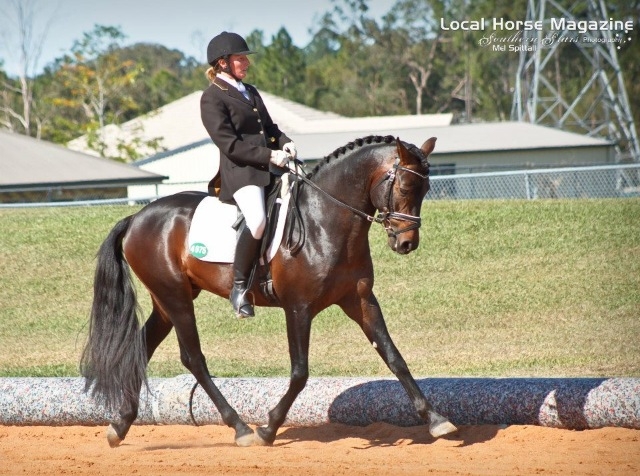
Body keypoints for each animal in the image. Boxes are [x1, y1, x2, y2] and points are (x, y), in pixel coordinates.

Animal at [81, 133, 460, 446]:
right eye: (405, 188)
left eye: (426, 190)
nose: (407, 243)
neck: (326, 220)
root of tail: (137, 217)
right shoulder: (298, 308)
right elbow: (300, 372)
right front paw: (269, 428)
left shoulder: (360, 300)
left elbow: (395, 358)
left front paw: (437, 420)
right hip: (174, 296)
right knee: (194, 359)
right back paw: (241, 428)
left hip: (167, 299)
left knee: (142, 348)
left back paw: (120, 426)